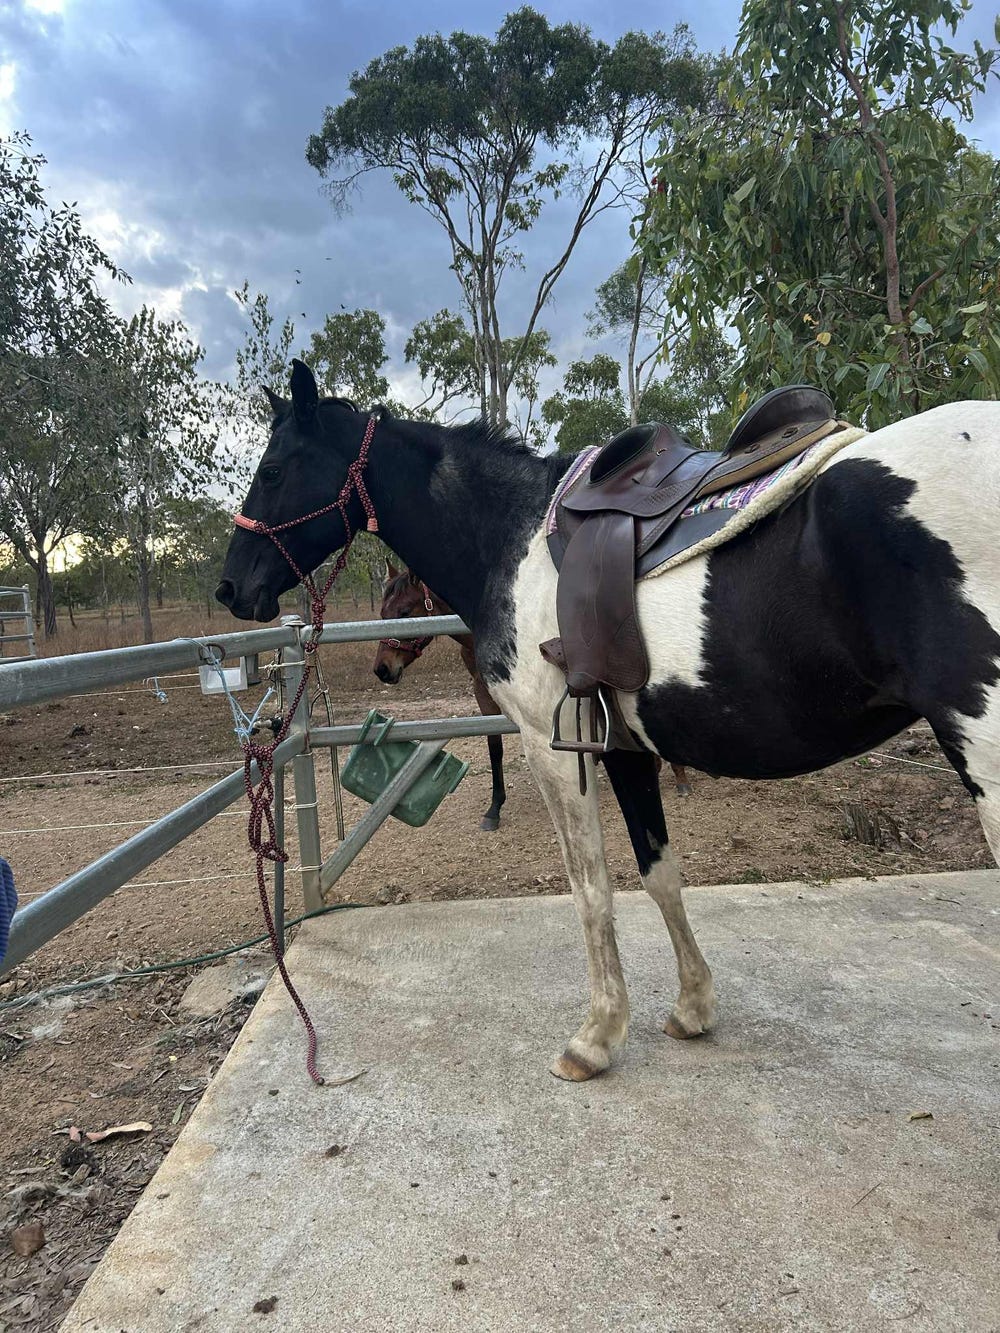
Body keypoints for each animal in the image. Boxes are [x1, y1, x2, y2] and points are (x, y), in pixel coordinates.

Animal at [373, 564, 695, 825]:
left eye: (404, 613)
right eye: (382, 613)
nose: (382, 670)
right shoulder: (483, 693)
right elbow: (495, 748)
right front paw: (494, 809)